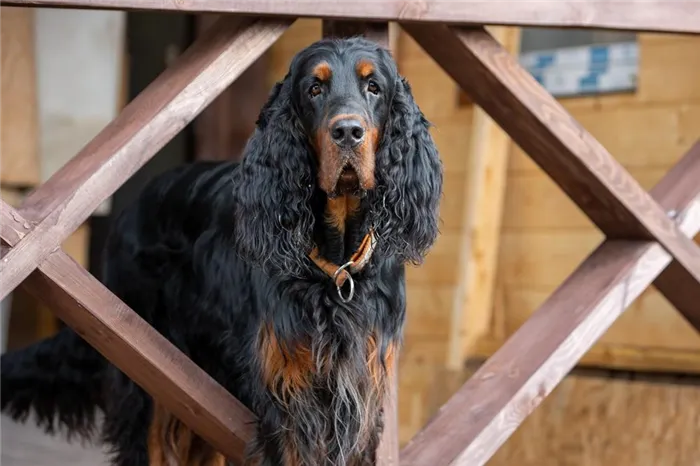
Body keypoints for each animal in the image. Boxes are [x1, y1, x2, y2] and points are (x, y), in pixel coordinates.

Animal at [0, 37, 442, 466]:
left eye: (374, 87)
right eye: (314, 89)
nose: (348, 132)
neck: (336, 266)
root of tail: (136, 202)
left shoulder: (360, 398)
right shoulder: (287, 395)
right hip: (148, 372)